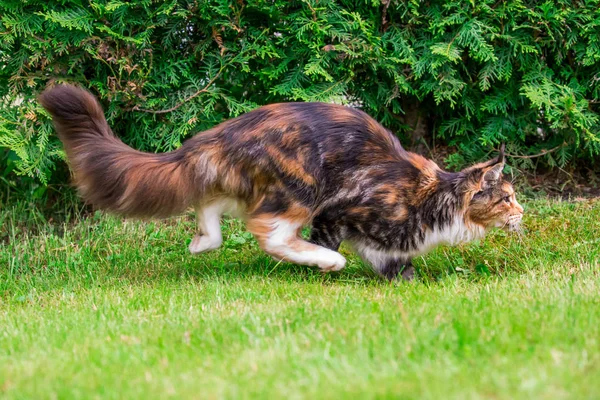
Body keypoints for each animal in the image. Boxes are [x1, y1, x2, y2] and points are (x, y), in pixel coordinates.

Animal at [39, 83, 524, 280]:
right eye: (507, 198)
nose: (522, 212)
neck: (434, 198)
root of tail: (220, 133)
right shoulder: (340, 210)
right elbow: (327, 243)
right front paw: (320, 267)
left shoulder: (383, 241)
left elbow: (395, 265)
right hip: (302, 184)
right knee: (268, 232)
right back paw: (324, 263)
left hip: (249, 184)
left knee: (213, 205)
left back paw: (202, 241)